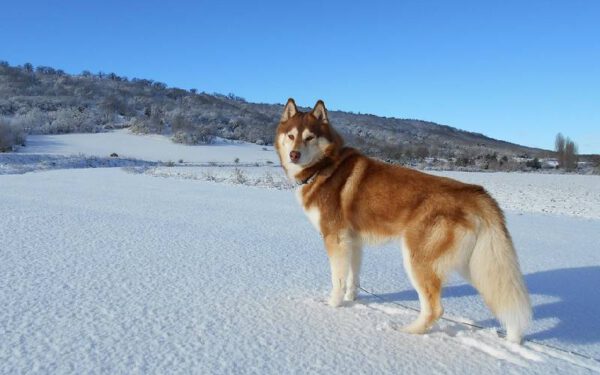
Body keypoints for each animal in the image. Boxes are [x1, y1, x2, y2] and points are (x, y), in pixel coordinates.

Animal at [274, 99, 532, 344]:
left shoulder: (334, 239)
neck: (324, 166)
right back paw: (513, 337)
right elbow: (352, 278)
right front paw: (352, 300)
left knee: (435, 309)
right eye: (291, 136)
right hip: (475, 265)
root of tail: (475, 192)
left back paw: (408, 332)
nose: (294, 155)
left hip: (417, 260)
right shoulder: (353, 242)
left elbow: (337, 279)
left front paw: (332, 306)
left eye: (309, 137)